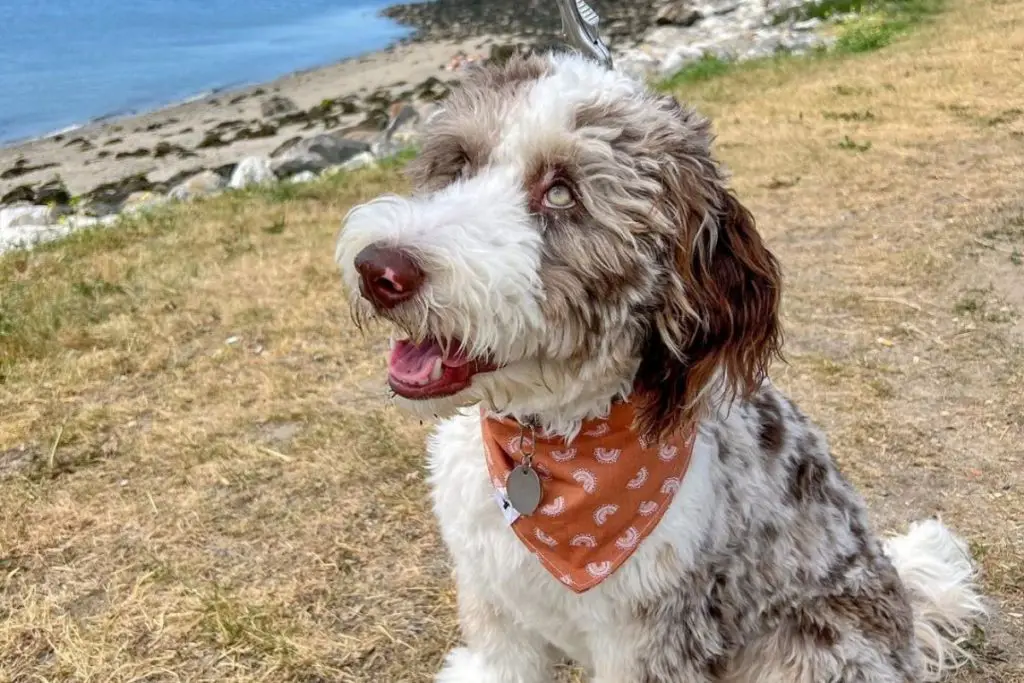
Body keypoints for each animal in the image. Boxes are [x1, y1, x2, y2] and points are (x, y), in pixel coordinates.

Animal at [333, 50, 983, 679]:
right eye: (459, 164)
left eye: (562, 193)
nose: (379, 270)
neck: (548, 445)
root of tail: (906, 621)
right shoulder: (495, 611)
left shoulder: (655, 634)